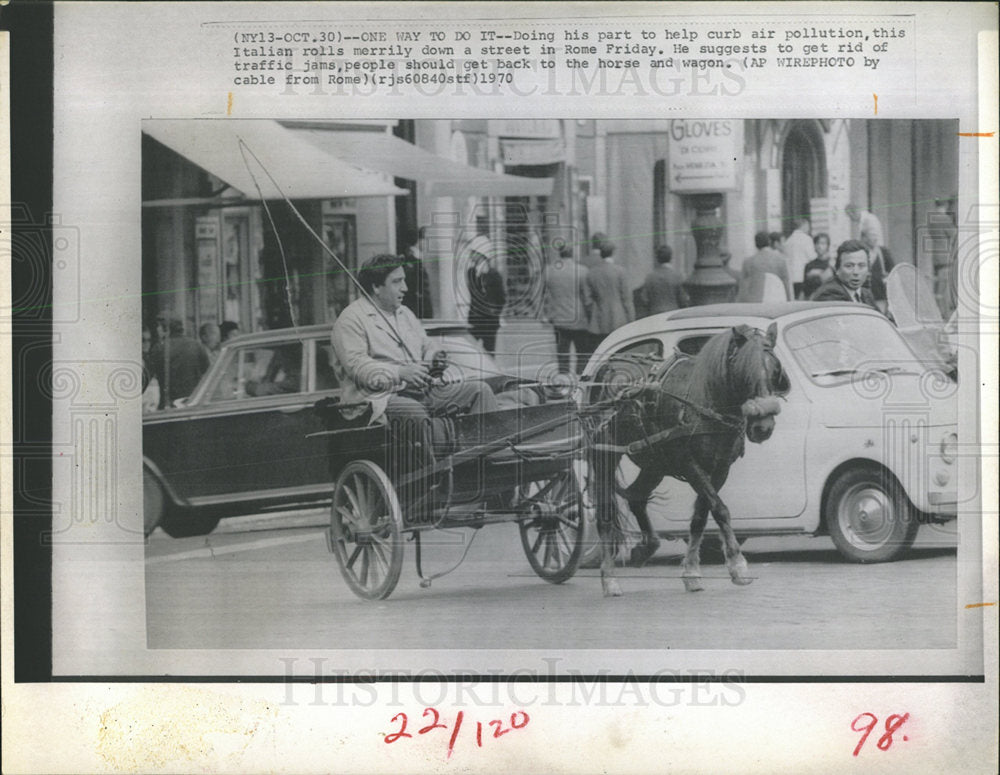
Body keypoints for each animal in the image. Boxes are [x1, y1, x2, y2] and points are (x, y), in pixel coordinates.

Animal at [584, 324, 788, 596]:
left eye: (775, 370)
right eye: (744, 371)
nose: (763, 427)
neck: (704, 402)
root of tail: (606, 365)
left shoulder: (720, 469)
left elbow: (701, 516)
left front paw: (691, 571)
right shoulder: (690, 465)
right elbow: (720, 509)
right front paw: (738, 564)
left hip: (654, 461)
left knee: (637, 496)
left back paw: (646, 547)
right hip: (605, 454)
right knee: (606, 513)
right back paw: (609, 578)